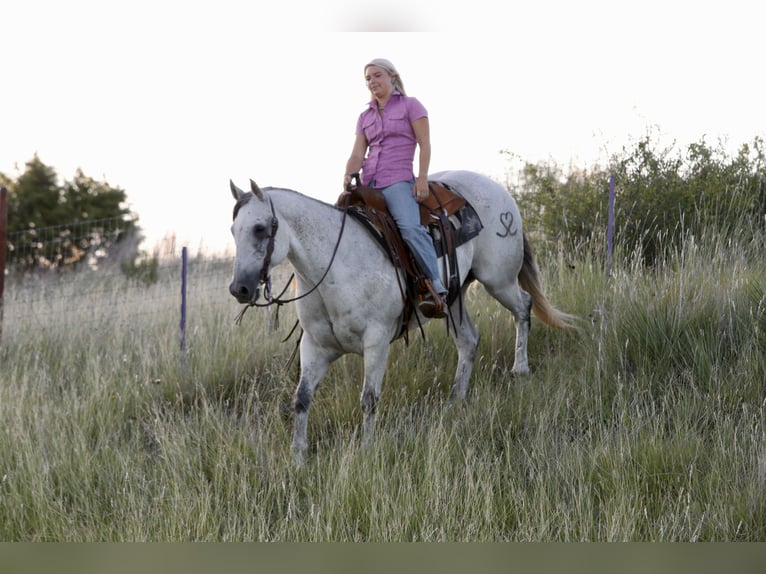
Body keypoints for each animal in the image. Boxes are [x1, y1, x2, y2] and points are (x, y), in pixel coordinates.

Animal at [228, 170, 576, 462]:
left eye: (260, 228)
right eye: (233, 230)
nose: (239, 289)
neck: (336, 263)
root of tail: (500, 190)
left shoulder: (376, 342)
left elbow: (369, 399)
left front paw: (366, 450)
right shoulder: (316, 346)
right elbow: (301, 398)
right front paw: (298, 456)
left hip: (498, 279)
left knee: (524, 305)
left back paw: (520, 368)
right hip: (455, 297)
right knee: (469, 340)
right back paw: (457, 398)